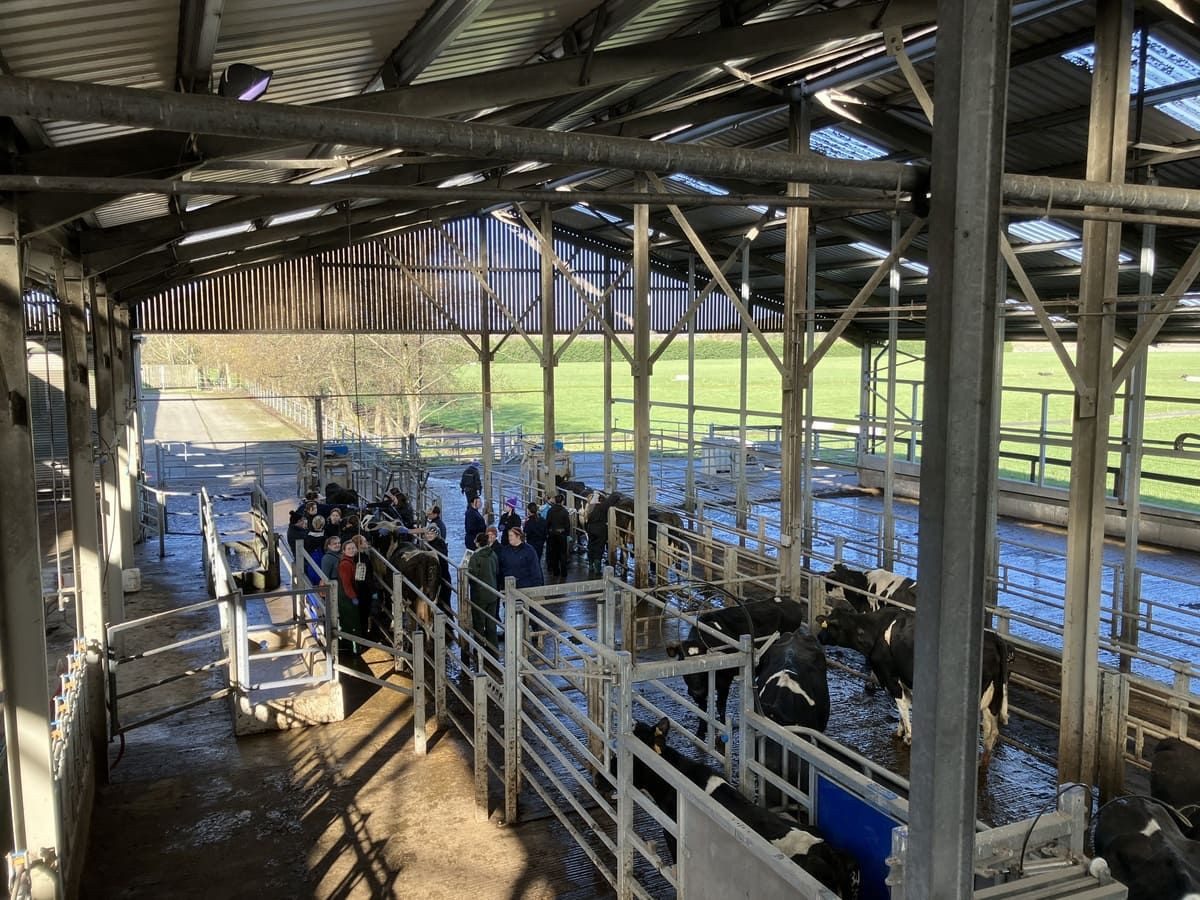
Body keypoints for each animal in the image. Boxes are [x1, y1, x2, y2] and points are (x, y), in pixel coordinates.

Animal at [667, 600, 806, 739]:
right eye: (682, 659)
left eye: (703, 663)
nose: (696, 691)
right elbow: (702, 708)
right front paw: (700, 733)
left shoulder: (725, 681)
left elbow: (720, 705)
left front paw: (723, 728)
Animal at [816, 607, 1012, 768]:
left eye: (828, 624)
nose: (818, 636)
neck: (875, 630)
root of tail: (995, 638)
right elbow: (903, 705)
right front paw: (900, 730)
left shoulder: (889, 676)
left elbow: (902, 704)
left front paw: (908, 736)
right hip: (994, 696)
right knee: (991, 732)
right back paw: (982, 764)